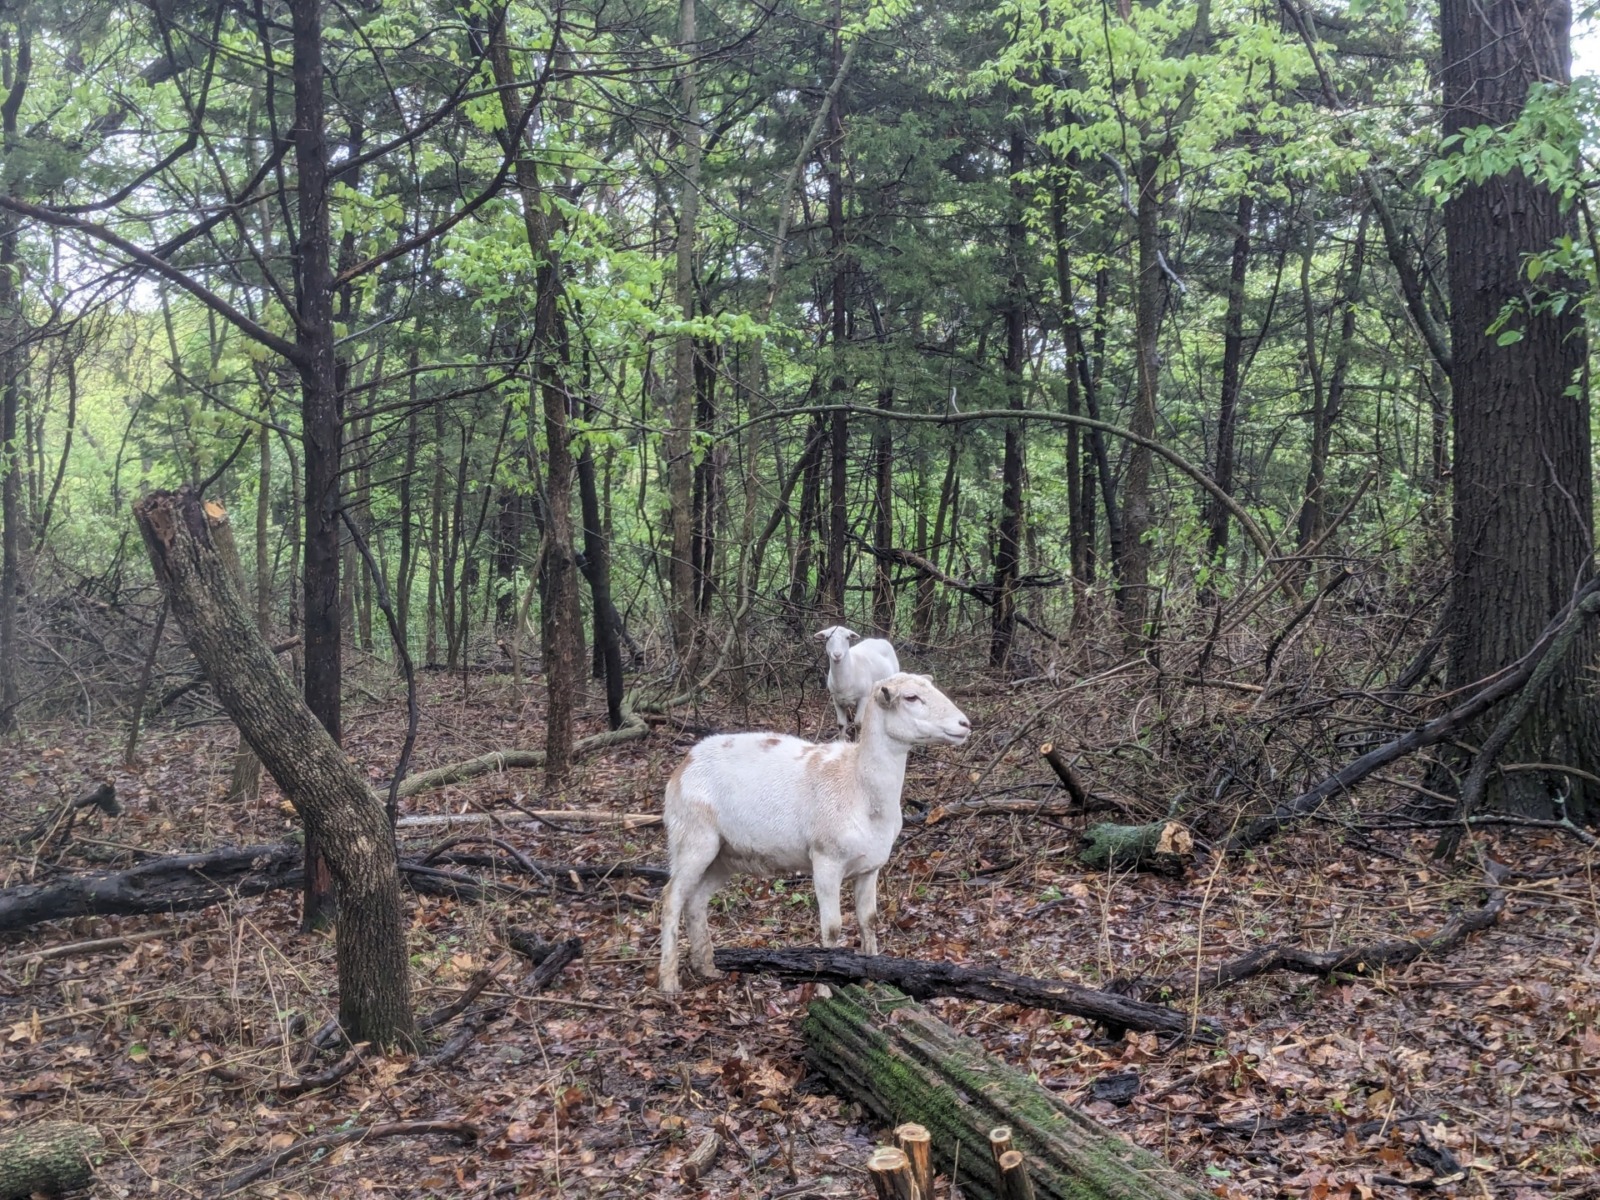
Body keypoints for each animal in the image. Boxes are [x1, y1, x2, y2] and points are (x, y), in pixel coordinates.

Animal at [656, 672, 970, 994]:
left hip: (725, 856)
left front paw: (873, 979)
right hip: (693, 838)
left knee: (695, 900)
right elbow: (831, 928)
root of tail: (685, 763)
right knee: (671, 898)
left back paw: (707, 967)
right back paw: (669, 981)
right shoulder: (826, 860)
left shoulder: (870, 867)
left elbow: (868, 920)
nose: (964, 724)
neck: (859, 785)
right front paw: (825, 988)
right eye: (910, 697)